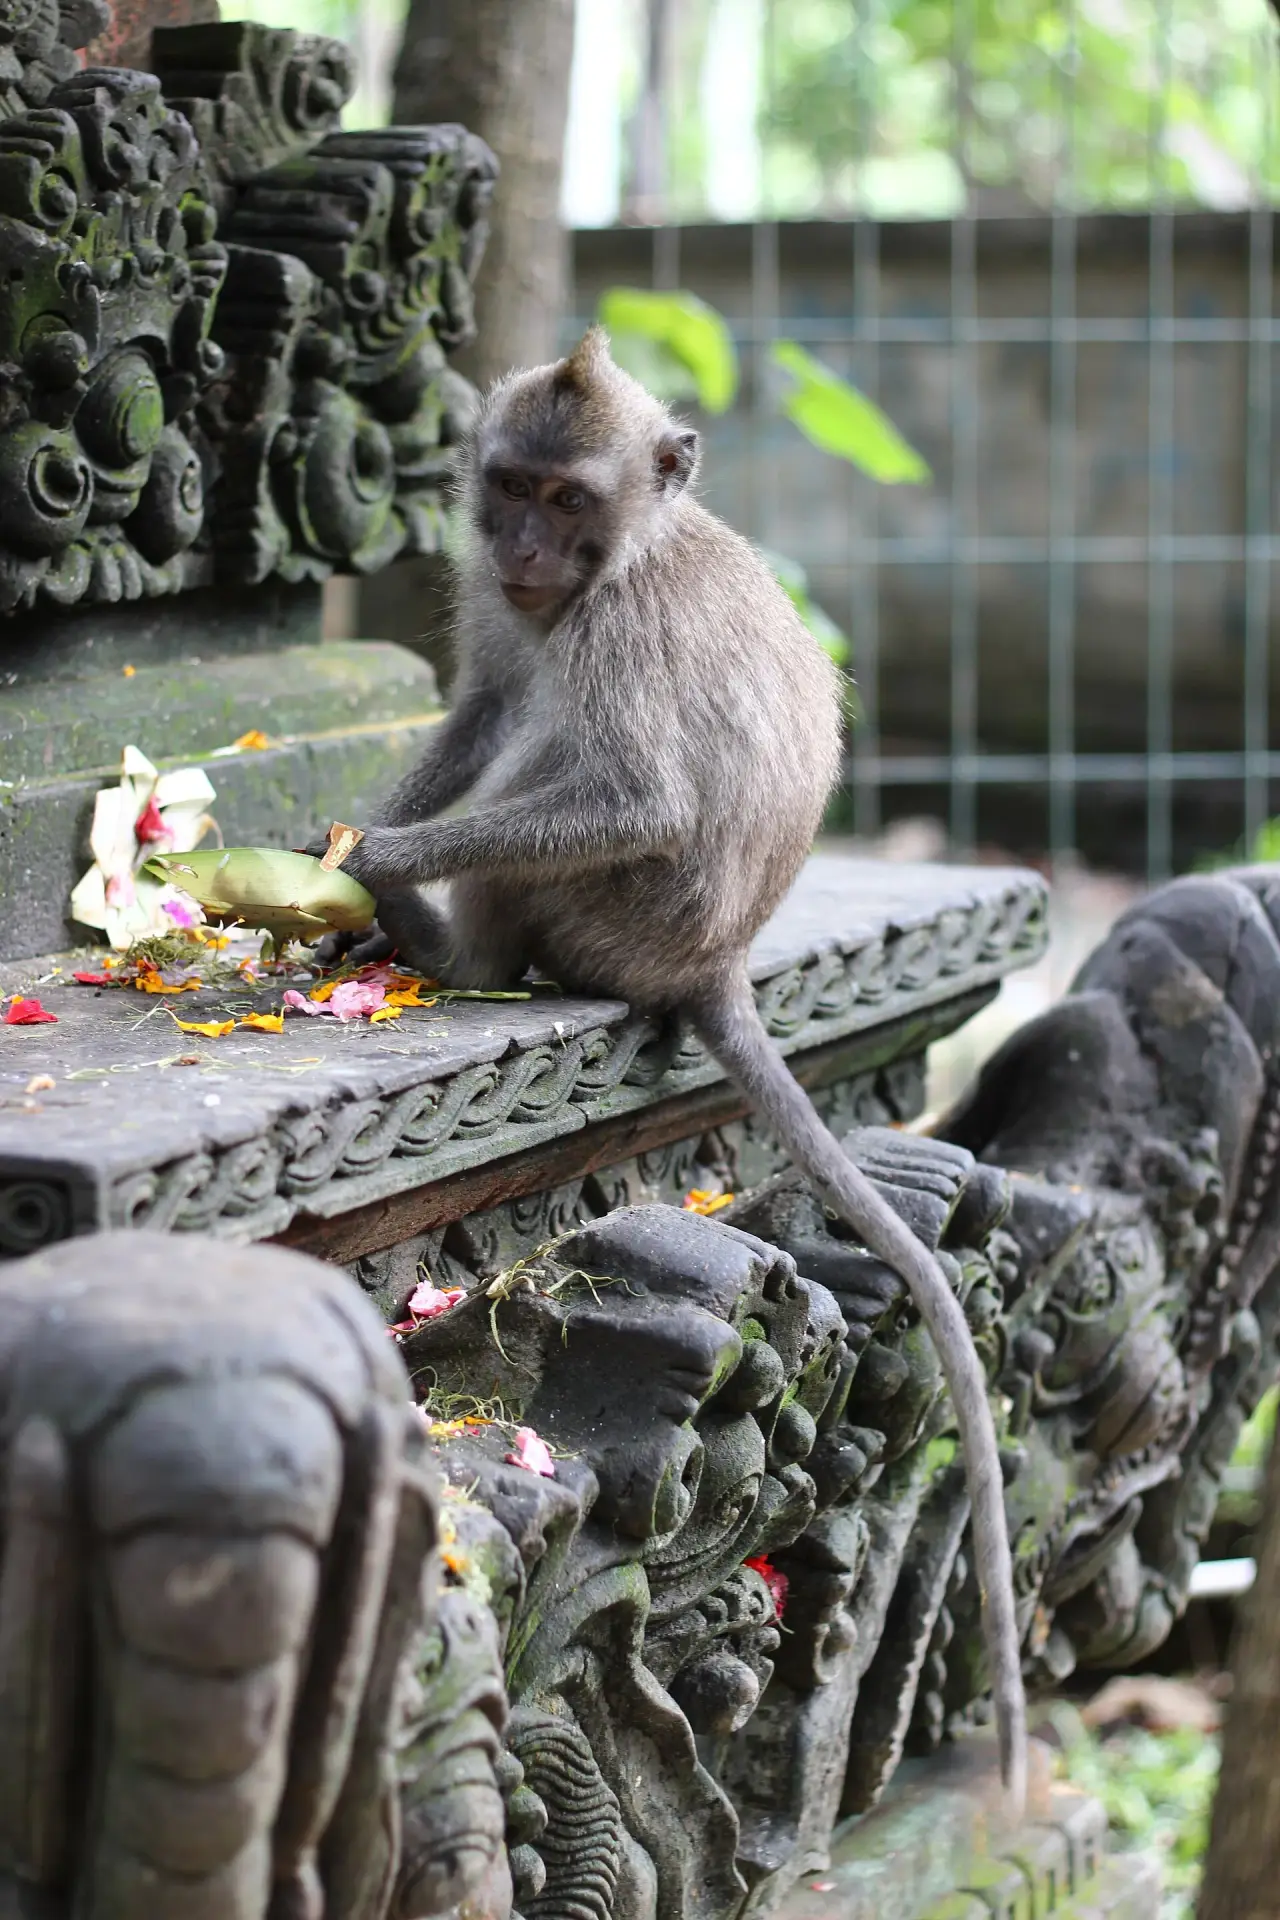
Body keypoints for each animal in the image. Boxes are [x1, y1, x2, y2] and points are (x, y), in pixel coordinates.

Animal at [309, 326, 1027, 1809]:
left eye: (569, 501)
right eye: (511, 487)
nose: (529, 546)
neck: (618, 559)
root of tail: (717, 958)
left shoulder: (612, 628)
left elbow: (630, 792)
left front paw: (384, 864)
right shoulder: (510, 605)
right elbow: (483, 705)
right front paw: (345, 845)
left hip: (615, 921)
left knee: (574, 796)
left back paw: (445, 944)